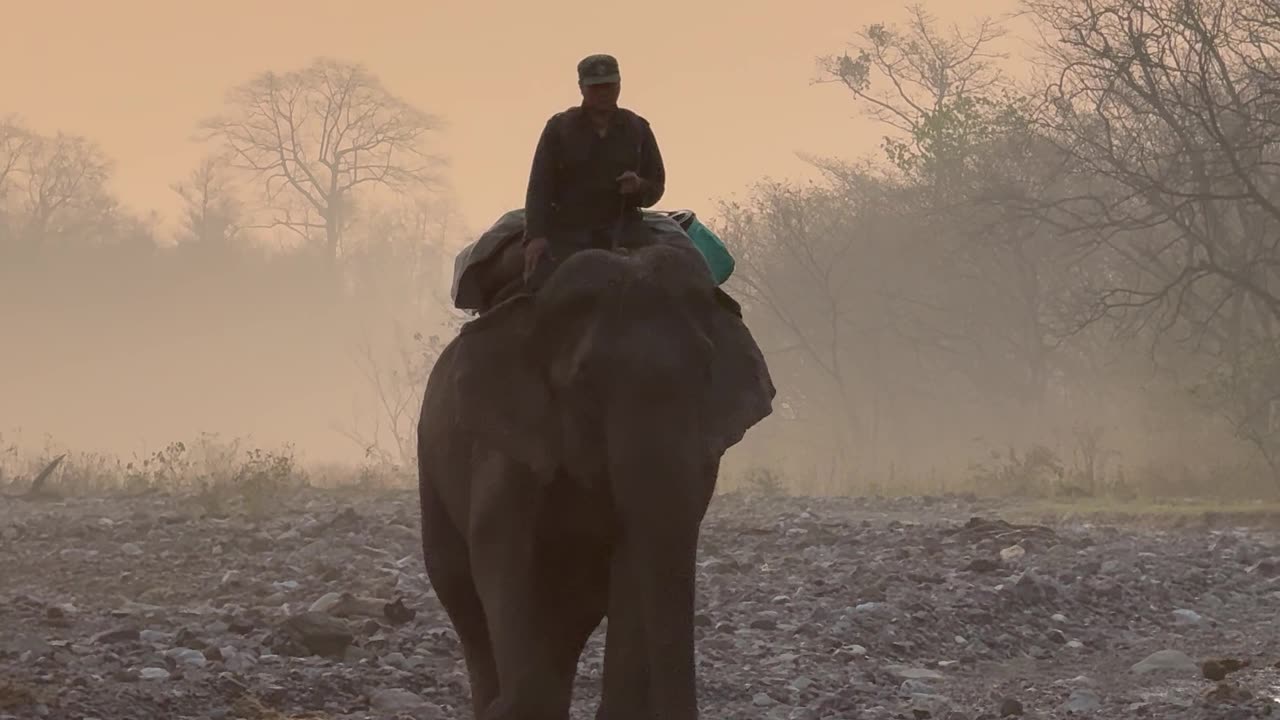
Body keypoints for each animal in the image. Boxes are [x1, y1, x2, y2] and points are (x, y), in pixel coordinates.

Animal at [414, 226, 773, 712]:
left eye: (705, 370)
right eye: (584, 380)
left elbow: (635, 557)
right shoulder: (507, 438)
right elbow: (500, 546)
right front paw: (518, 702)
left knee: (571, 616)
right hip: (430, 468)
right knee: (461, 594)